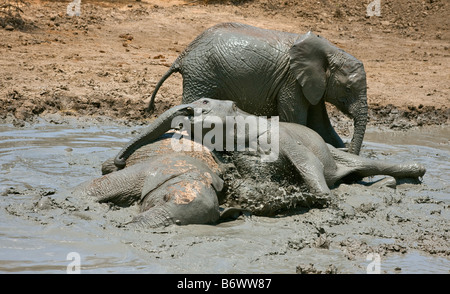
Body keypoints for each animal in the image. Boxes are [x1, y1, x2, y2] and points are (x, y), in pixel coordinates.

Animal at [72, 99, 428, 227]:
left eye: (203, 105)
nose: (115, 161)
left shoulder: (278, 136)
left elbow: (304, 162)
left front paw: (328, 204)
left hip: (334, 151)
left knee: (364, 165)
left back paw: (412, 173)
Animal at [148, 22, 370, 155]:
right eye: (348, 89)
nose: (351, 148)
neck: (332, 51)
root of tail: (183, 54)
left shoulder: (312, 84)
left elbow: (321, 125)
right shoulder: (292, 81)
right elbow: (297, 121)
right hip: (201, 74)